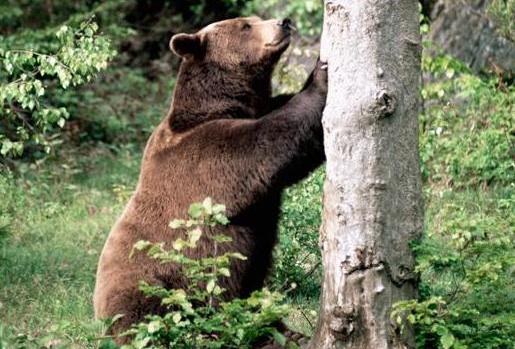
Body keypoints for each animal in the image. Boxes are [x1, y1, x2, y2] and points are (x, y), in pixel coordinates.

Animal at [93, 15, 326, 340]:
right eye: (245, 26)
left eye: (255, 20)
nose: (284, 21)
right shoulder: (202, 158)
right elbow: (267, 144)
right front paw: (320, 76)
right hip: (153, 283)